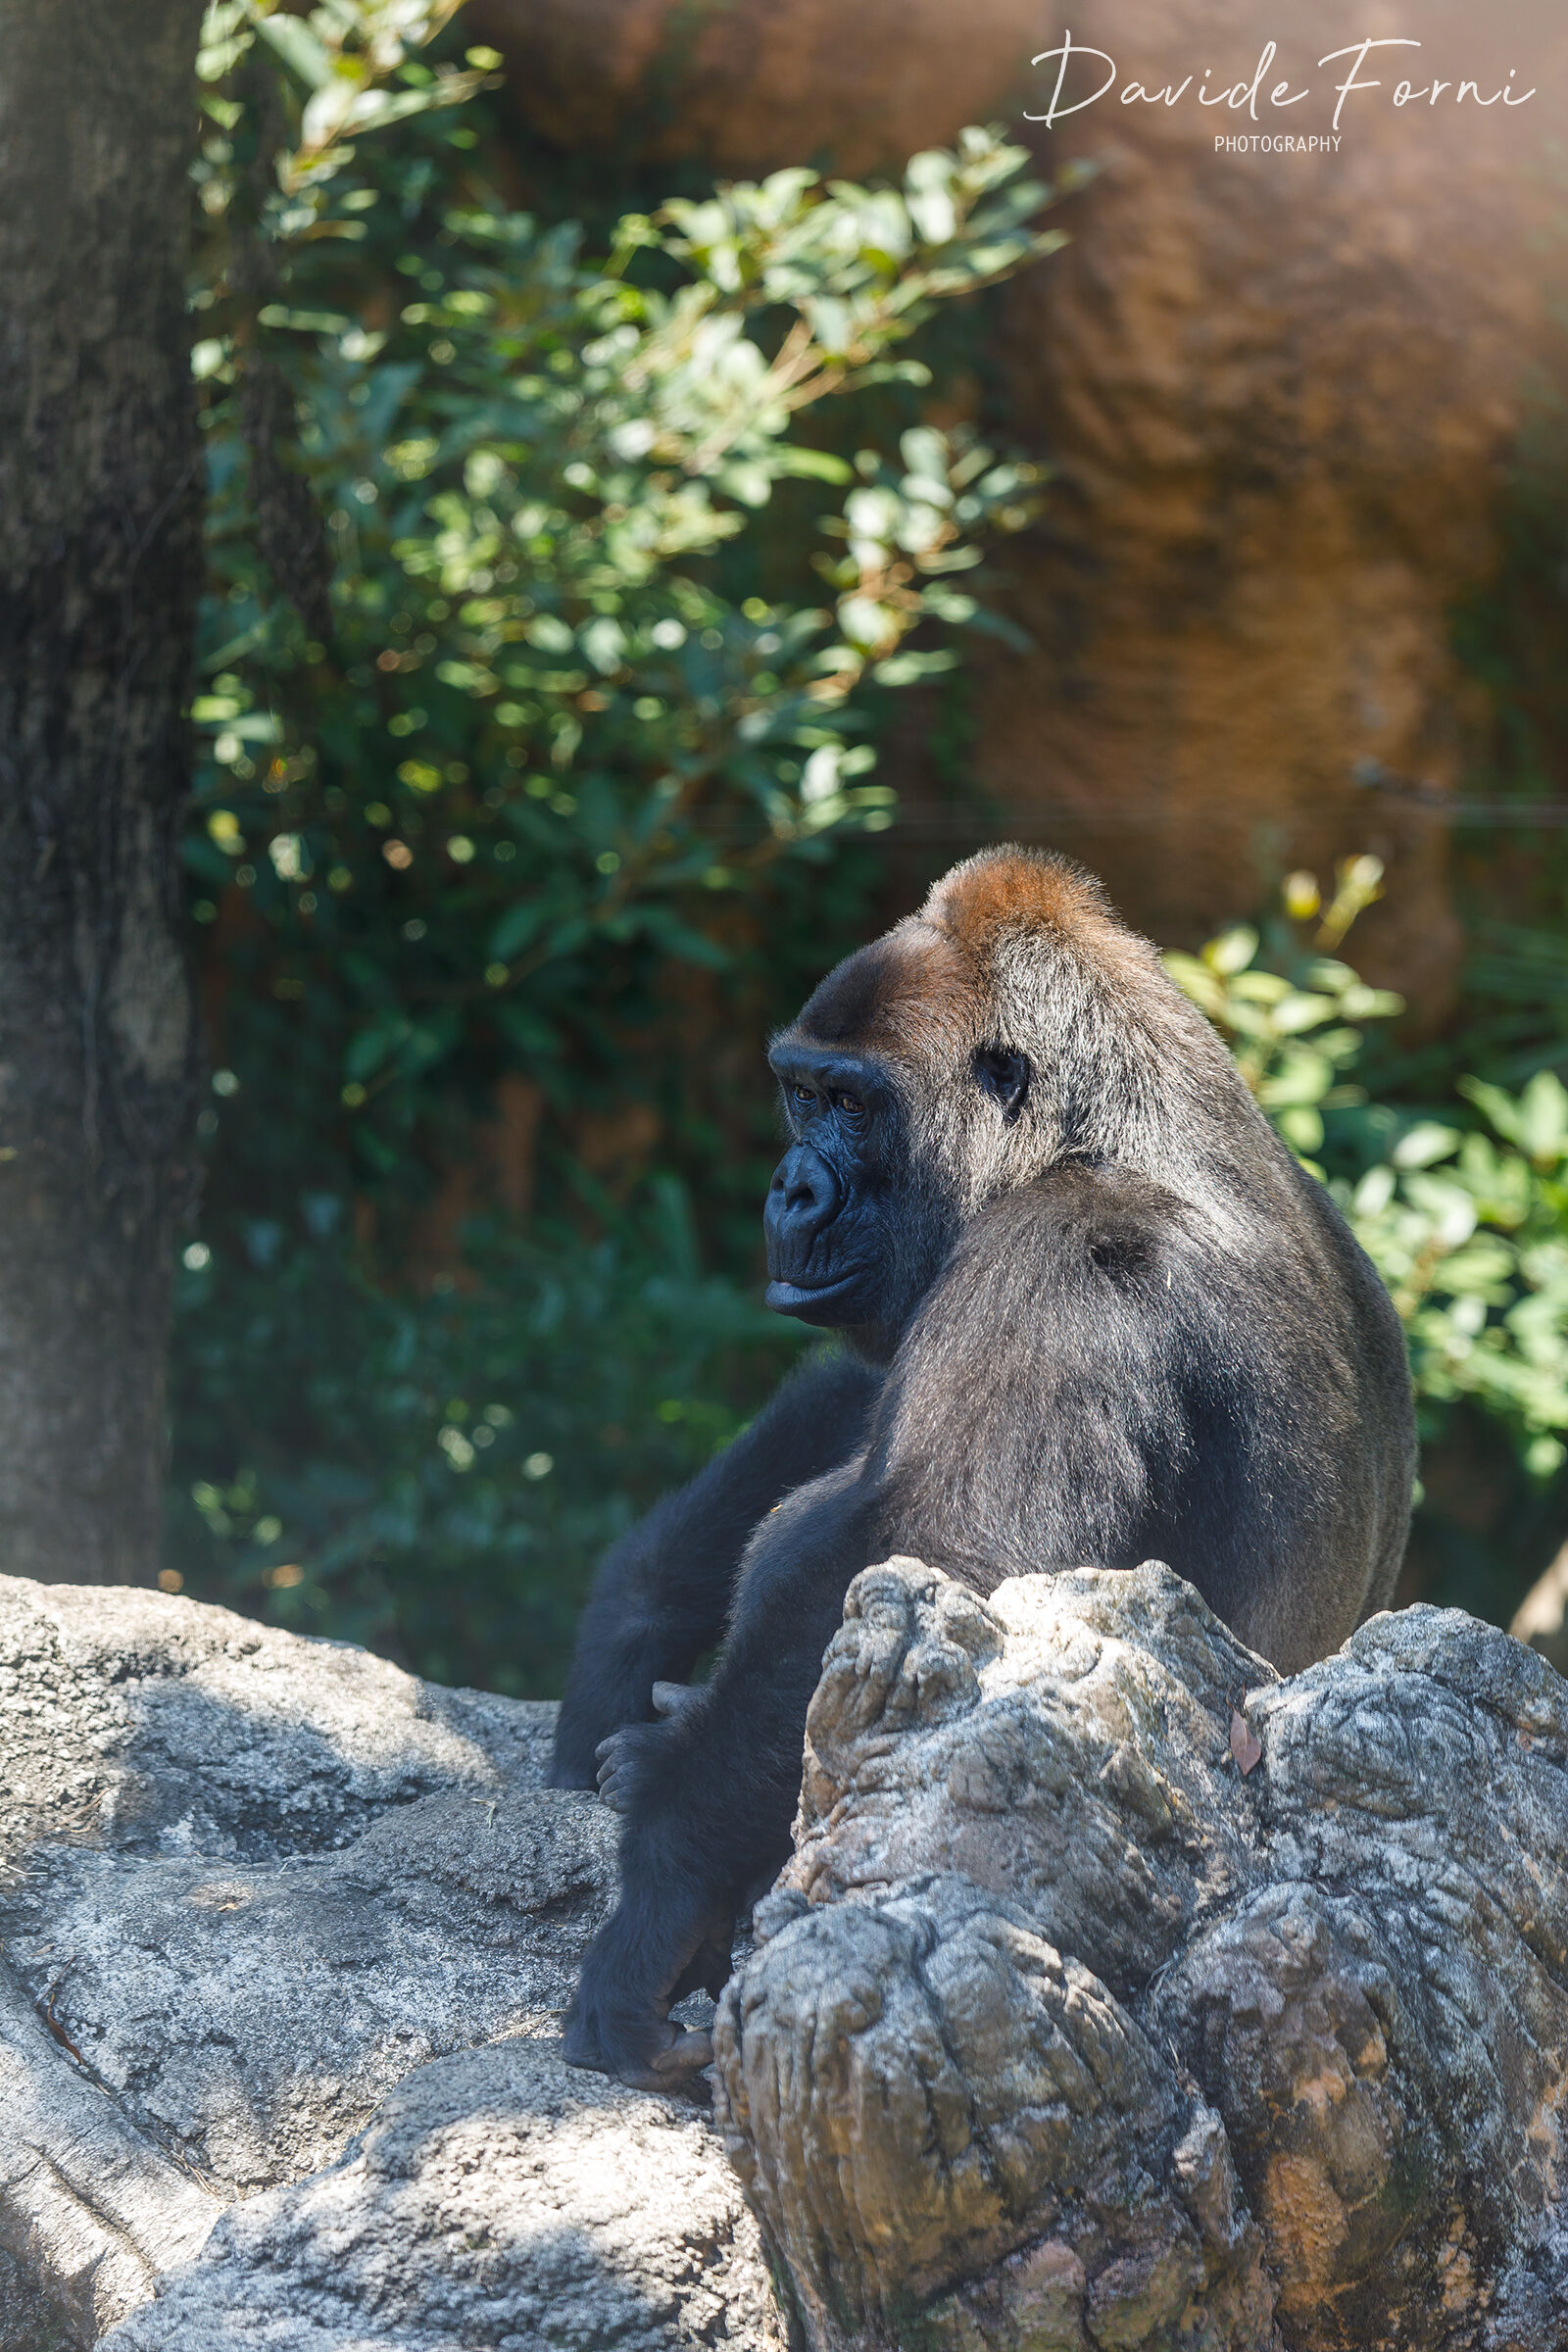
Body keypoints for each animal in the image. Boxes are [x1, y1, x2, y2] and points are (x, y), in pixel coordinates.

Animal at [549, 846, 1416, 2089]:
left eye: (850, 1104)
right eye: (798, 1093)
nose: (786, 1189)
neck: (1096, 1127)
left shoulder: (1063, 1261)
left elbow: (942, 1561)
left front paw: (657, 1898)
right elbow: (854, 1400)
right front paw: (628, 1637)